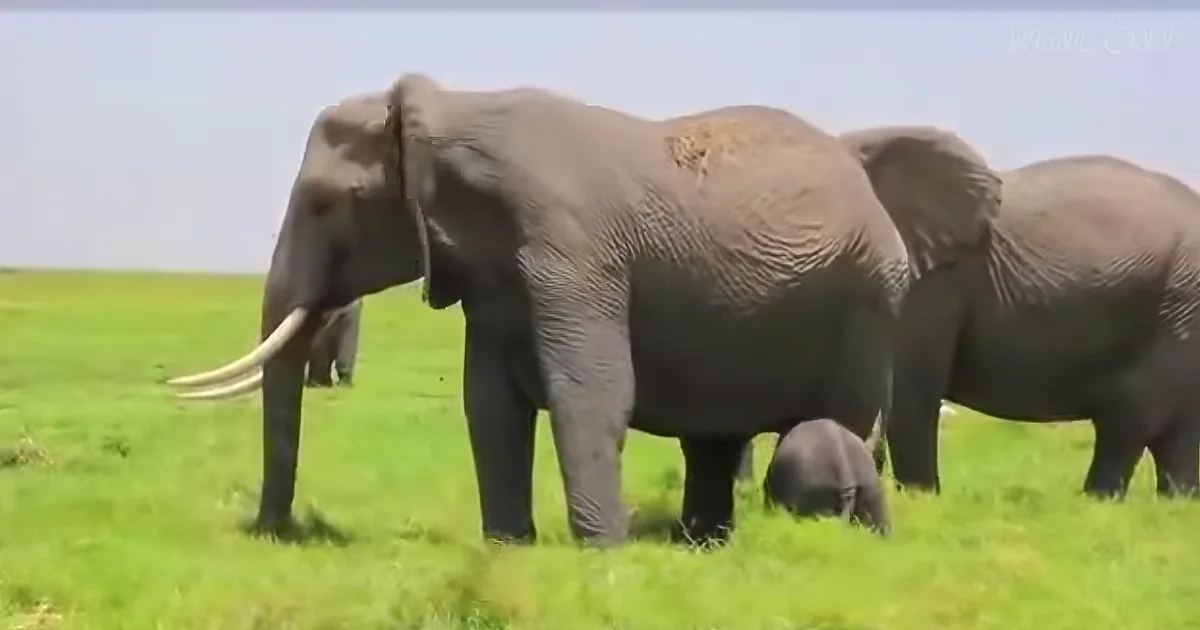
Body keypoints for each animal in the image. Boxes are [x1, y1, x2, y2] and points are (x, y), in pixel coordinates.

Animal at [164, 74, 1000, 547]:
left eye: (327, 204)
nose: (270, 532)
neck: (445, 115)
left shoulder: (569, 247)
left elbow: (590, 393)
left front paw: (602, 553)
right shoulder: (494, 277)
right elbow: (489, 405)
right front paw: (509, 547)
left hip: (866, 301)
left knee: (839, 421)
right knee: (714, 439)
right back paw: (702, 543)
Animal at [836, 134, 1200, 499]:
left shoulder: (930, 283)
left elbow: (909, 390)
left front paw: (920, 500)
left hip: (1178, 307)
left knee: (1129, 420)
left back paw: (1099, 501)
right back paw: (1174, 502)